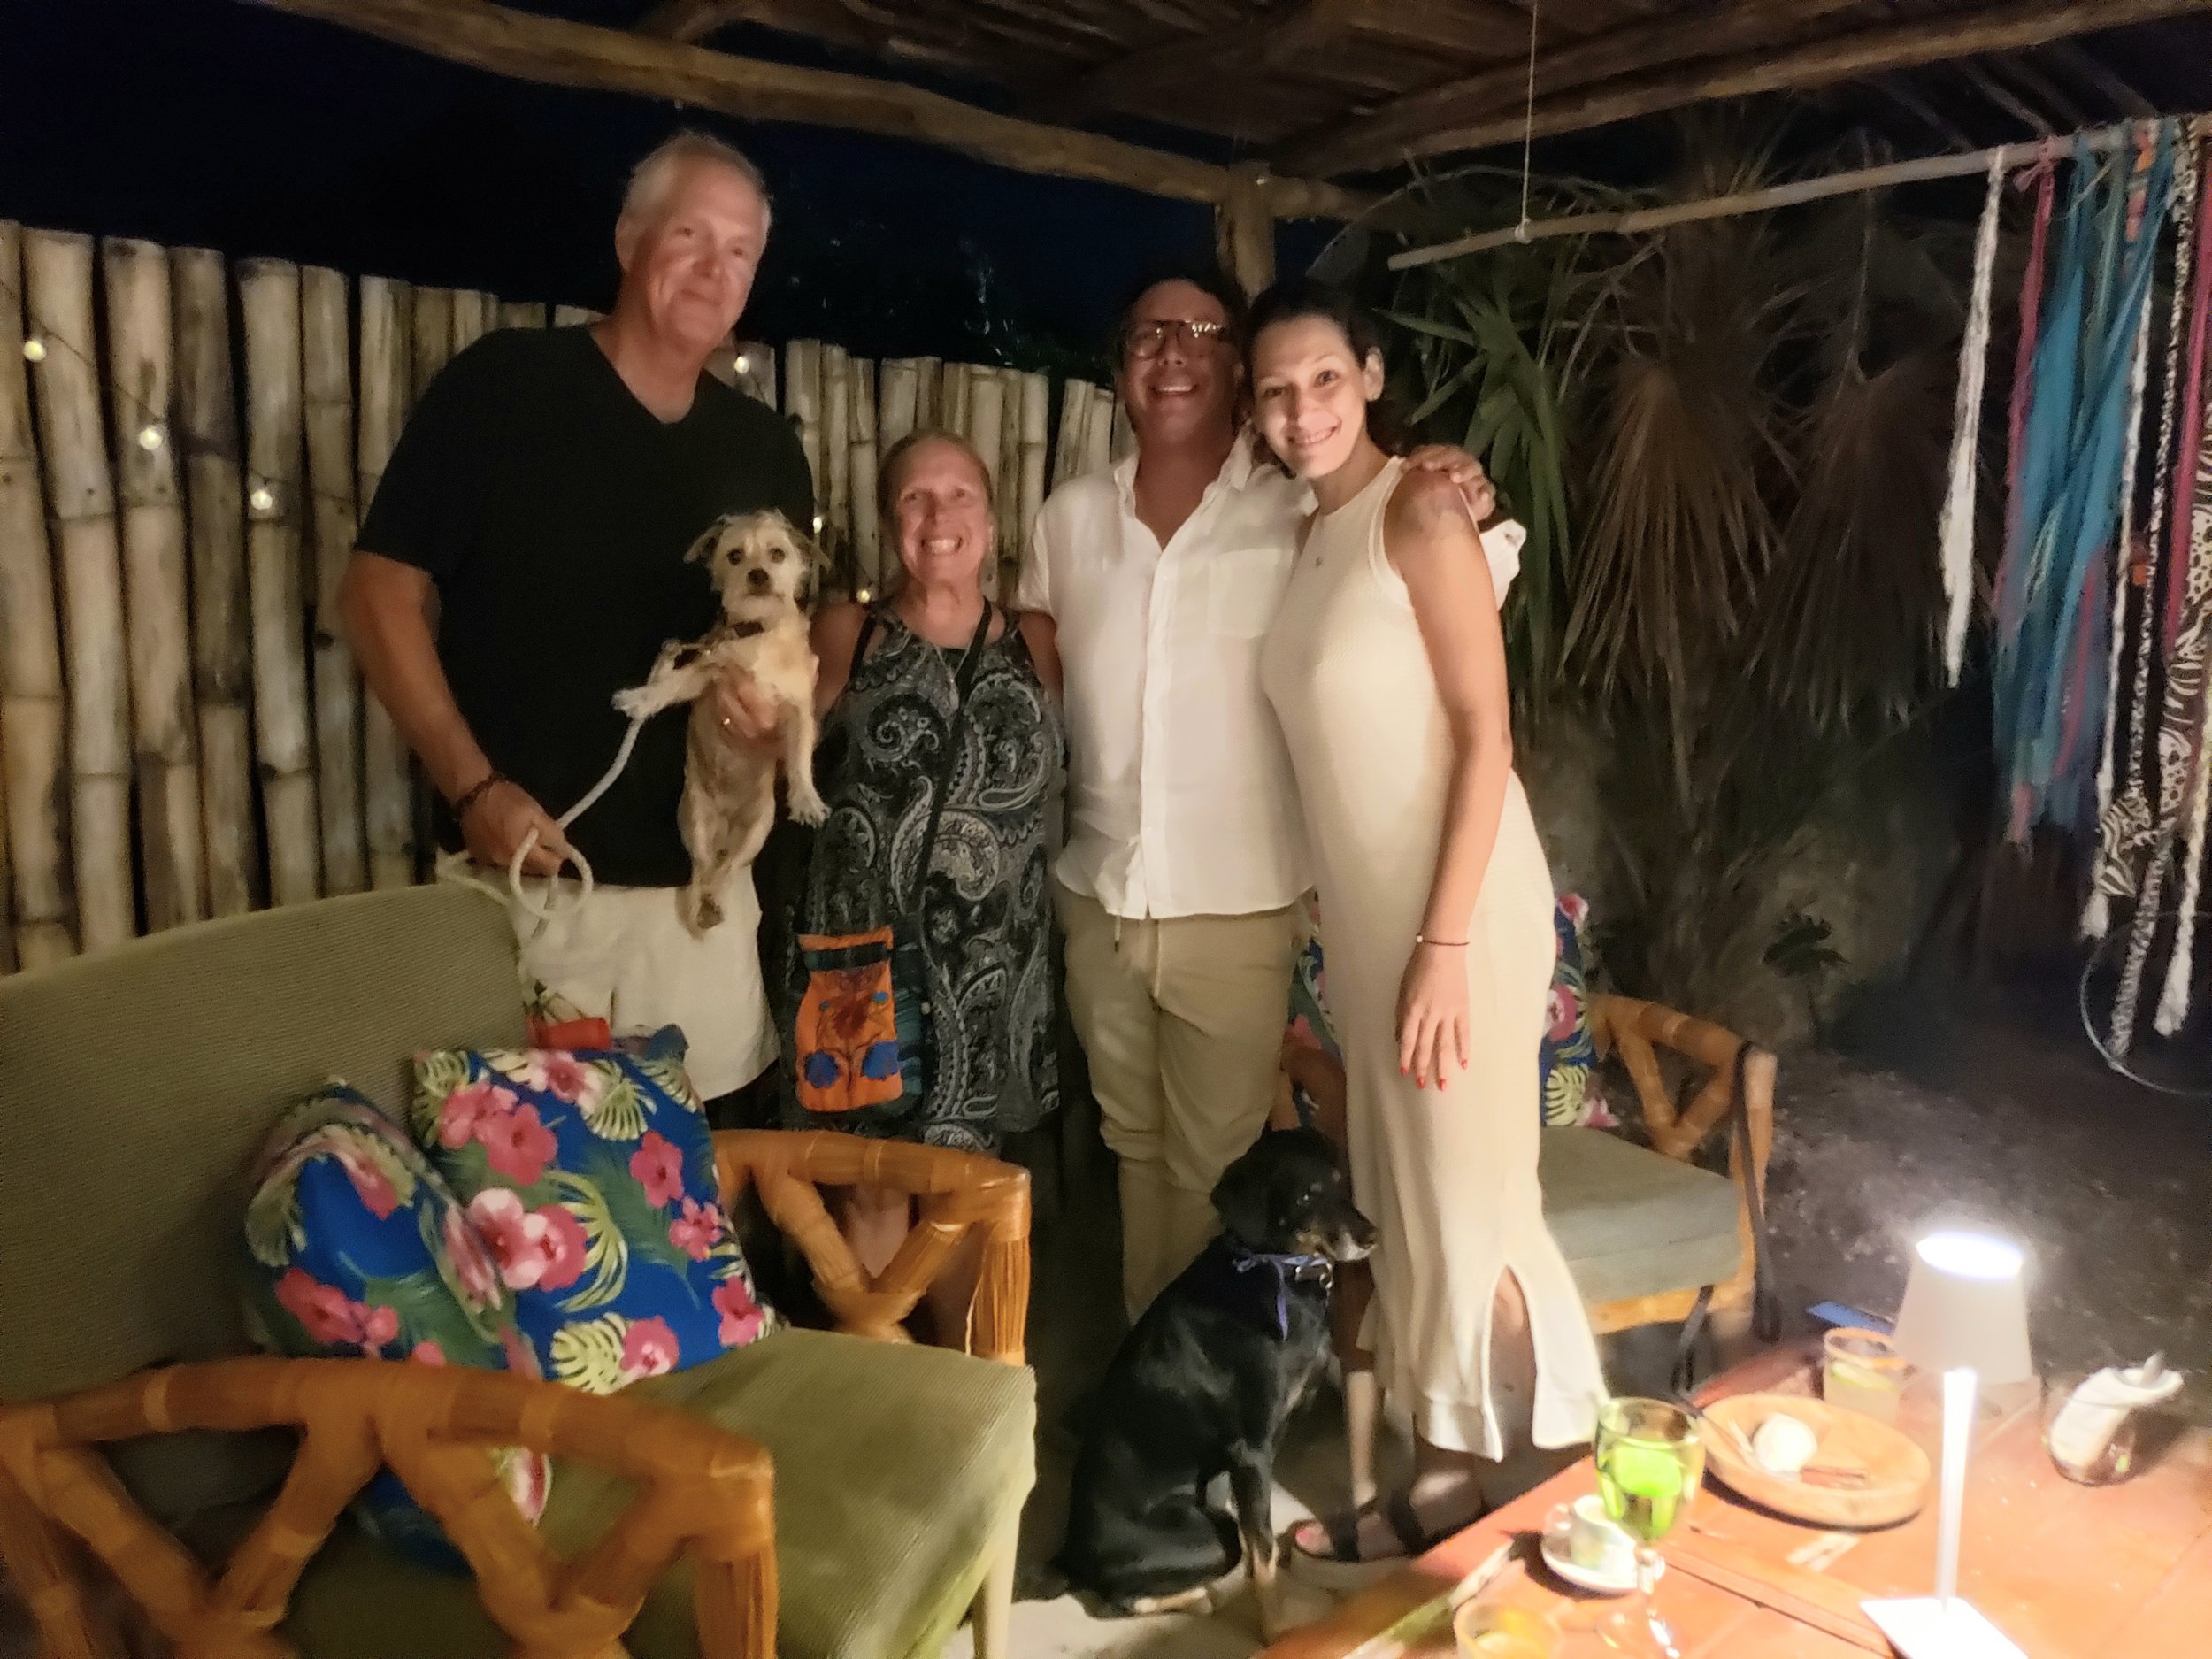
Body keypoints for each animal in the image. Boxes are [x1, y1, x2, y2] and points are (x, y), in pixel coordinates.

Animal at [612, 509, 829, 934]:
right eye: (735, 556)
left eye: (777, 554)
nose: (758, 574)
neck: (756, 634)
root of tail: (726, 828)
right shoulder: (706, 674)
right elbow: (670, 685)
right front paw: (640, 698)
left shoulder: (798, 709)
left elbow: (799, 757)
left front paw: (806, 797)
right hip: (695, 823)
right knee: (703, 868)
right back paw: (706, 899)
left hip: (757, 832)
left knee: (726, 869)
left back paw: (715, 901)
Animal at [1047, 1127, 1376, 1637]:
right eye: (1306, 1196)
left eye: (1342, 1182)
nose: (1371, 1236)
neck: (1272, 1270)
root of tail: (1070, 1558)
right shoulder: (1251, 1454)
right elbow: (1262, 1552)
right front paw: (1276, 1632)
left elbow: (1263, 1540)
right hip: (1208, 1535)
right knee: (1115, 1602)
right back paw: (1199, 1598)